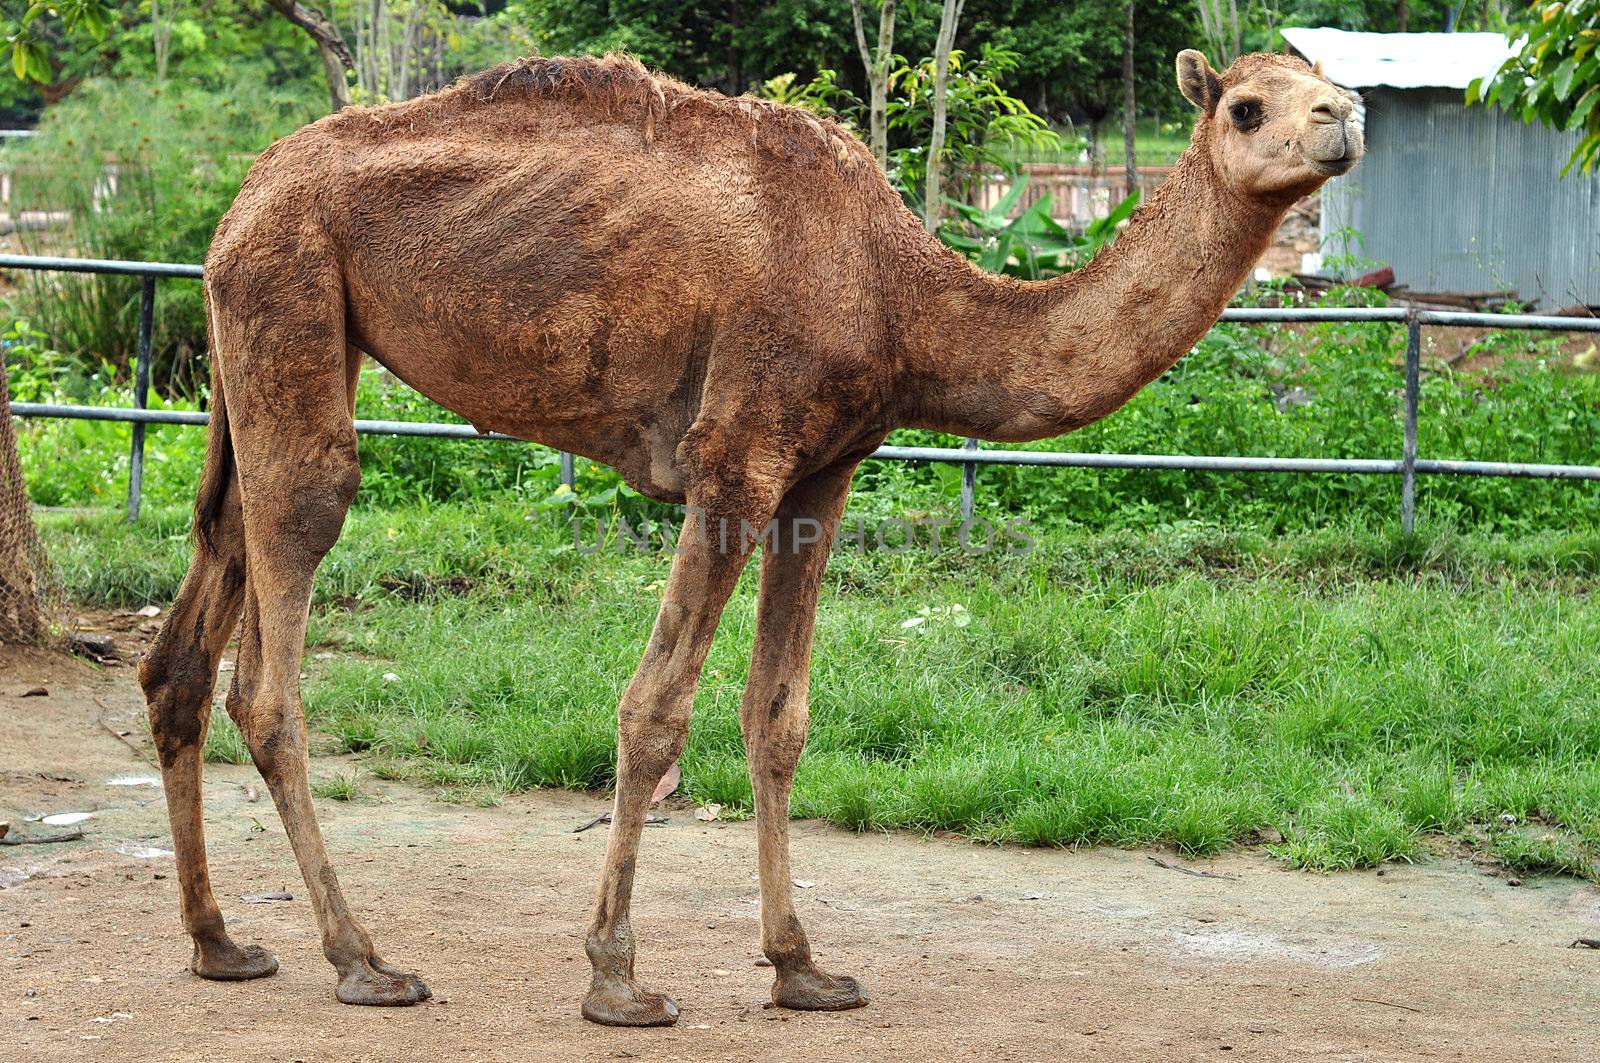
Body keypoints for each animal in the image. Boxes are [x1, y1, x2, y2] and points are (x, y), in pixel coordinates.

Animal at [134, 47, 1363, 1024]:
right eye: (1247, 105)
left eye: (1319, 84)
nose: (1344, 115)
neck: (902, 293)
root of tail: (240, 197)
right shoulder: (736, 454)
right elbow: (653, 709)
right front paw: (619, 978)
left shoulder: (824, 472)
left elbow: (779, 714)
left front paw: (801, 967)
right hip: (291, 304)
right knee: (277, 643)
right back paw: (365, 959)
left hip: (259, 349)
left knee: (184, 640)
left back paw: (221, 943)